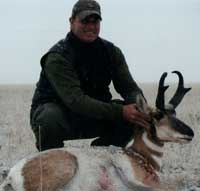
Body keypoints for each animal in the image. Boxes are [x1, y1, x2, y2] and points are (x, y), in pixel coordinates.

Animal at [0, 71, 194, 190]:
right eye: (159, 115)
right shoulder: (143, 181)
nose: (191, 133)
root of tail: (14, 172)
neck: (139, 156)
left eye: (174, 113)